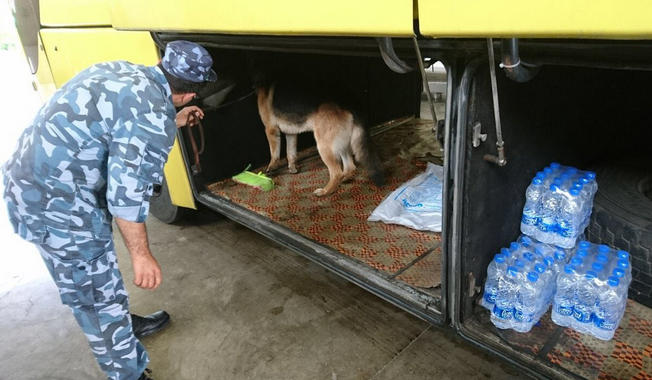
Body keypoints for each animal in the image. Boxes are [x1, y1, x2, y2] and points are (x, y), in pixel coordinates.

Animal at [256, 80, 388, 197]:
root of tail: (348, 102)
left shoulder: (271, 129)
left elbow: (274, 152)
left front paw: (271, 167)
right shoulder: (291, 133)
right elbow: (291, 152)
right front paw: (292, 167)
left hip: (324, 146)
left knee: (336, 173)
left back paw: (326, 191)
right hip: (341, 143)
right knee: (350, 167)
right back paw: (344, 179)